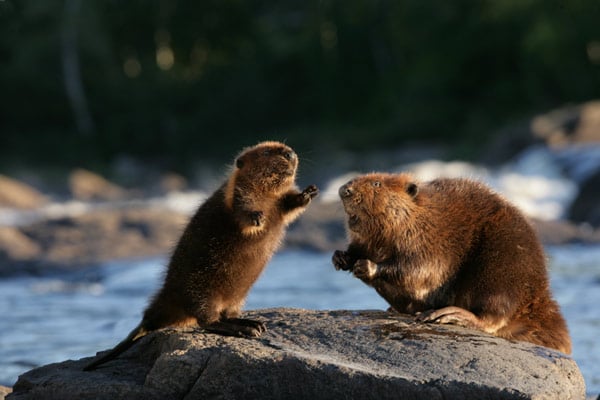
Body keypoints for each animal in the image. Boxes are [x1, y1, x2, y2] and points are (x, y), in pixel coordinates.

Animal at [85, 142, 322, 370]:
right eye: (265, 152)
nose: (290, 153)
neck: (267, 196)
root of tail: (150, 317)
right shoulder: (235, 194)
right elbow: (242, 209)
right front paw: (257, 218)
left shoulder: (277, 203)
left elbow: (288, 207)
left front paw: (309, 192)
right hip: (202, 291)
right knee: (207, 321)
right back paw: (245, 330)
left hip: (234, 297)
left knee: (225, 314)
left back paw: (253, 323)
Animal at [332, 172, 572, 354]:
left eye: (376, 183)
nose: (344, 190)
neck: (420, 214)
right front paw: (341, 257)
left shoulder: (429, 239)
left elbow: (417, 269)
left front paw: (367, 266)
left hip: (501, 269)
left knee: (492, 316)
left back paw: (446, 314)